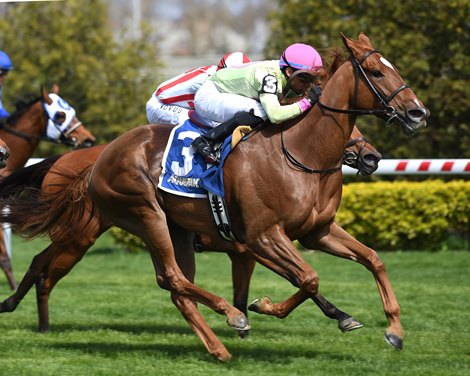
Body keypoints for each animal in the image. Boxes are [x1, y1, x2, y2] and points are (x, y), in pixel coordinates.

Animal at [0, 126, 378, 334]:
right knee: (44, 266)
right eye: (347, 131)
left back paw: (28, 313)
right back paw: (24, 310)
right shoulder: (257, 243)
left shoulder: (247, 250)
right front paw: (339, 315)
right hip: (80, 234)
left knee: (41, 261)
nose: (371, 156)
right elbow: (302, 280)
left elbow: (274, 285)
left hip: (78, 233)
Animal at [82, 33, 428, 358]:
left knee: (176, 286)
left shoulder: (318, 231)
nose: (417, 112)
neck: (301, 154)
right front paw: (263, 306)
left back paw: (218, 348)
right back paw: (232, 315)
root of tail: (103, 156)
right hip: (146, 215)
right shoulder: (262, 236)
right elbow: (308, 278)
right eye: (376, 72)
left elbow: (372, 260)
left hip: (175, 228)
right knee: (174, 278)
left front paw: (393, 330)